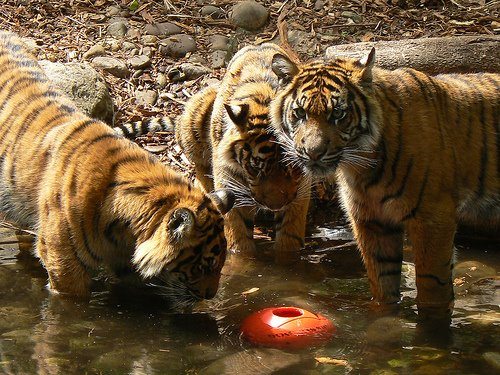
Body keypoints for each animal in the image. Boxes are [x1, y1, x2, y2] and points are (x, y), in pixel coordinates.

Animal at [174, 43, 310, 262]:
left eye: (294, 169)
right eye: (255, 169)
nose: (275, 207)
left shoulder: (301, 189)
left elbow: (289, 236)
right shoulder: (229, 183)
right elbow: (238, 238)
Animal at [270, 46, 500, 318]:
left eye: (337, 114)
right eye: (300, 113)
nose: (313, 153)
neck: (362, 167)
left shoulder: (433, 219)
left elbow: (432, 286)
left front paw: (431, 324)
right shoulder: (373, 221)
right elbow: (382, 283)